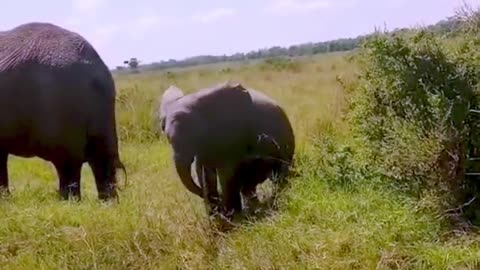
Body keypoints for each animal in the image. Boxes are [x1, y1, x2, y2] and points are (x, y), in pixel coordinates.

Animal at [0, 22, 125, 200]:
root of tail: (93, 66)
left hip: (62, 106)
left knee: (67, 164)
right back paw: (108, 203)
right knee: (101, 160)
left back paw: (68, 202)